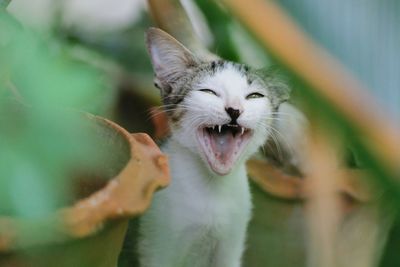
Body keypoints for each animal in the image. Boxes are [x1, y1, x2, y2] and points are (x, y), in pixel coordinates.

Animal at [139, 27, 290, 267]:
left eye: (254, 96)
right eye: (208, 91)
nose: (234, 109)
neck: (212, 191)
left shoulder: (231, 245)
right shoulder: (156, 247)